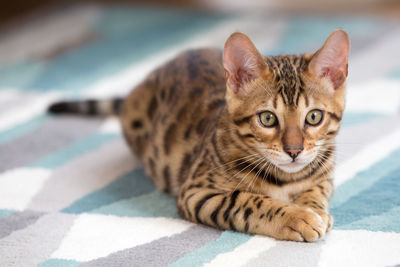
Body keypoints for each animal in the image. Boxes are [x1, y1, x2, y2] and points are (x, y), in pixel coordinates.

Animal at [49, 29, 350, 243]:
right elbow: (247, 201)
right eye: (267, 119)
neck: (287, 179)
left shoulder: (325, 175)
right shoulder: (198, 191)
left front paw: (314, 210)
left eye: (314, 117)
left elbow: (316, 190)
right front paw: (297, 217)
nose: (294, 151)